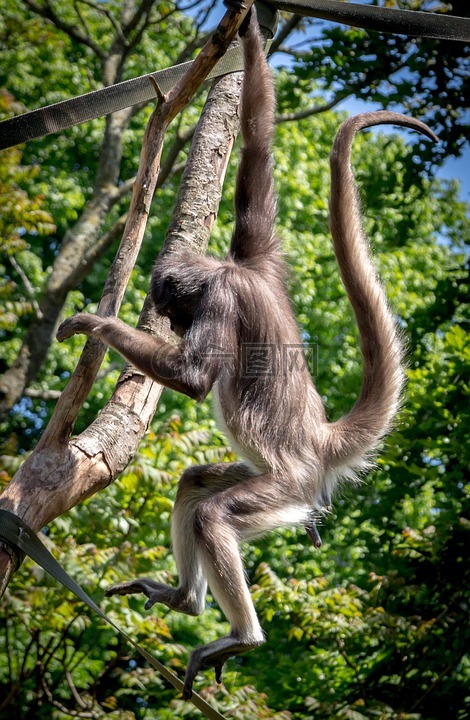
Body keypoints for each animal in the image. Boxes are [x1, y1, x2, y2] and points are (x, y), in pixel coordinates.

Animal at [57, 0, 438, 696]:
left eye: (178, 311)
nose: (171, 321)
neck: (229, 272)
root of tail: (319, 440)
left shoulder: (225, 295)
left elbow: (195, 378)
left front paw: (97, 325)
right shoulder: (255, 251)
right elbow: (258, 146)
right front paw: (252, 28)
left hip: (286, 491)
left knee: (215, 516)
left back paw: (240, 635)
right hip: (266, 480)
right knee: (195, 483)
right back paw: (186, 600)